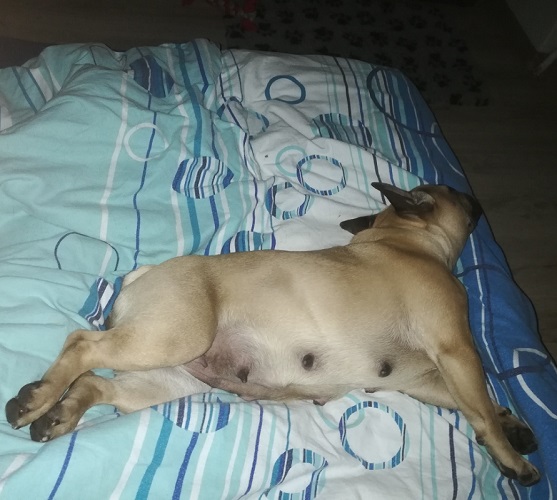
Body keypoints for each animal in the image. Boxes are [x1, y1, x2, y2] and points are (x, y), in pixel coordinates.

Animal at [6, 182, 540, 486]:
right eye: (455, 193)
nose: (473, 197)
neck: (407, 240)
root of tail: (146, 274)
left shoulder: (425, 377)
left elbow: (475, 401)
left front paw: (513, 424)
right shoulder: (456, 348)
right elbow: (480, 405)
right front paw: (510, 458)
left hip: (166, 377)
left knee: (97, 383)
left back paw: (58, 416)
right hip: (173, 337)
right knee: (81, 346)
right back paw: (37, 400)